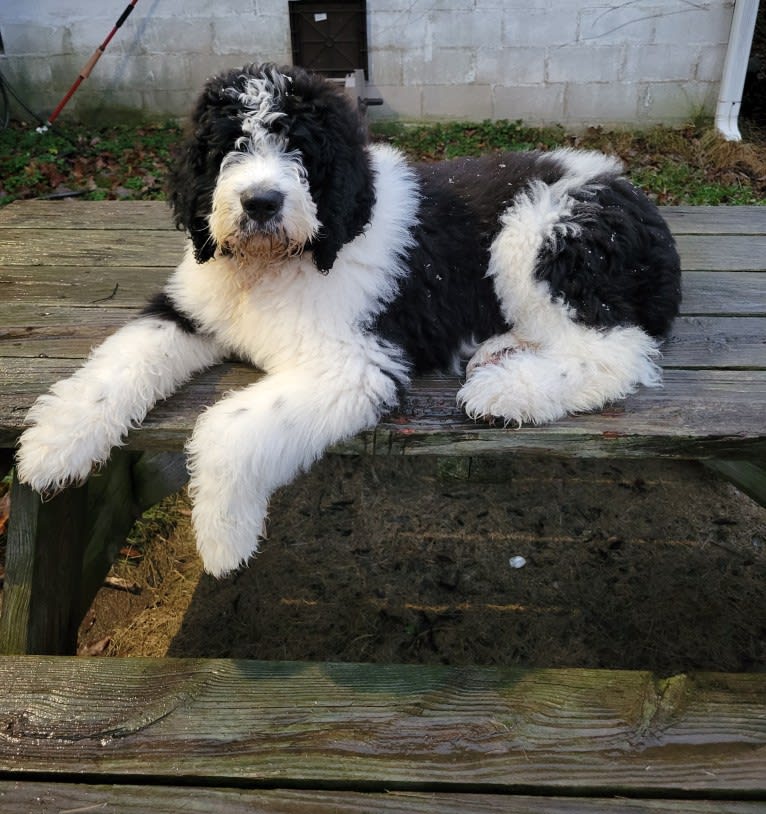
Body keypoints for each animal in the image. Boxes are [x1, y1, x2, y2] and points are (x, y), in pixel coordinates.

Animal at [15, 65, 680, 580]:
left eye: (301, 149)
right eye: (230, 145)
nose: (261, 202)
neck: (276, 264)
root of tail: (637, 201)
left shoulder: (357, 363)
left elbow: (226, 429)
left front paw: (224, 538)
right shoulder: (188, 309)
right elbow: (119, 362)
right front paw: (53, 445)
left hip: (537, 234)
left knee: (616, 352)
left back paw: (507, 389)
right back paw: (499, 350)